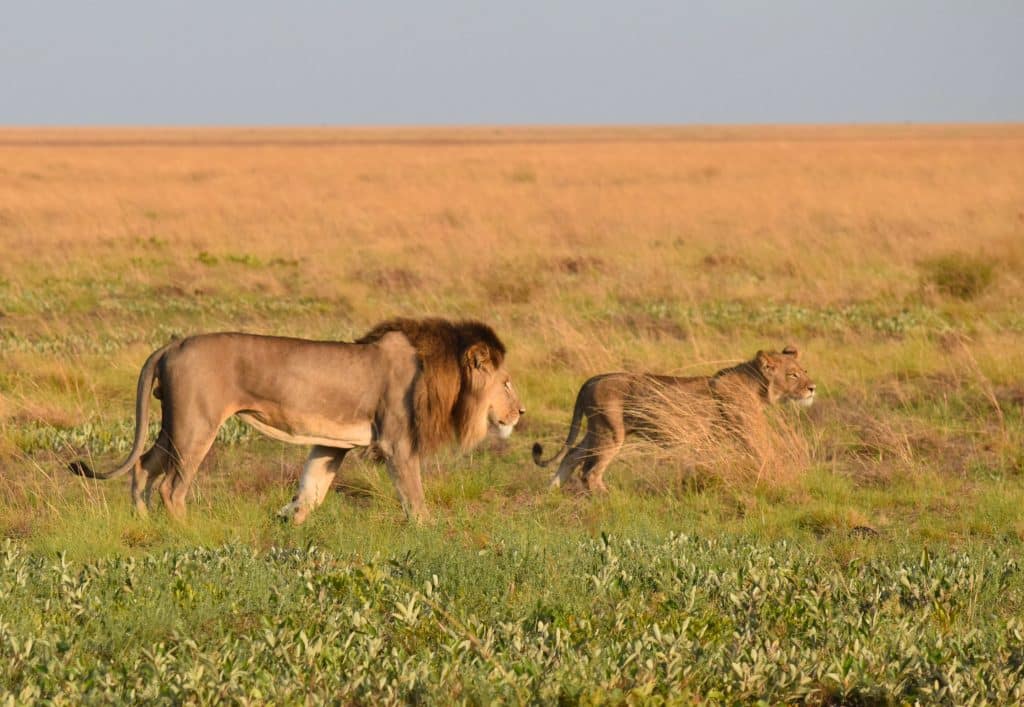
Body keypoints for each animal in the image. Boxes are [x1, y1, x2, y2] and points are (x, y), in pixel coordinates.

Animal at [69, 318, 525, 523]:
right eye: (506, 382)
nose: (521, 413)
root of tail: (172, 344)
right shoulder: (397, 443)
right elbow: (414, 496)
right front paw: (428, 530)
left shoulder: (332, 444)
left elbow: (313, 488)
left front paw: (291, 521)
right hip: (195, 426)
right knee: (171, 486)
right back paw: (184, 531)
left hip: (173, 425)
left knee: (144, 466)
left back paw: (144, 522)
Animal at [532, 347, 814, 492]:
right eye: (792, 375)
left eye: (804, 371)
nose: (812, 388)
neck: (758, 386)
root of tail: (592, 379)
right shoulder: (749, 433)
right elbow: (767, 456)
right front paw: (783, 483)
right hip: (610, 433)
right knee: (590, 472)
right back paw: (609, 499)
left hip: (597, 430)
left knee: (571, 456)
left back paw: (550, 493)